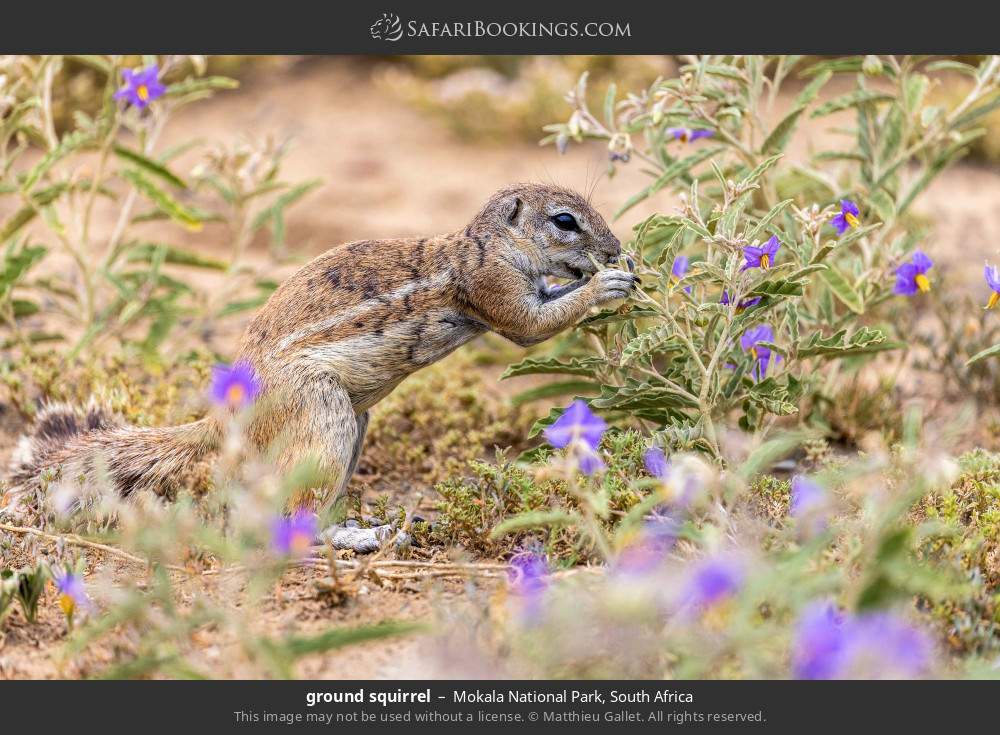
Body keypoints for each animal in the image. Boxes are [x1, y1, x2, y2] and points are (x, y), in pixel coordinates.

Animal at [3, 183, 636, 551]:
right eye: (565, 221)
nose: (613, 248)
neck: (483, 244)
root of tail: (222, 418)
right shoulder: (492, 287)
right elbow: (530, 326)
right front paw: (607, 283)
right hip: (322, 412)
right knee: (287, 518)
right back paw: (359, 539)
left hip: (353, 426)